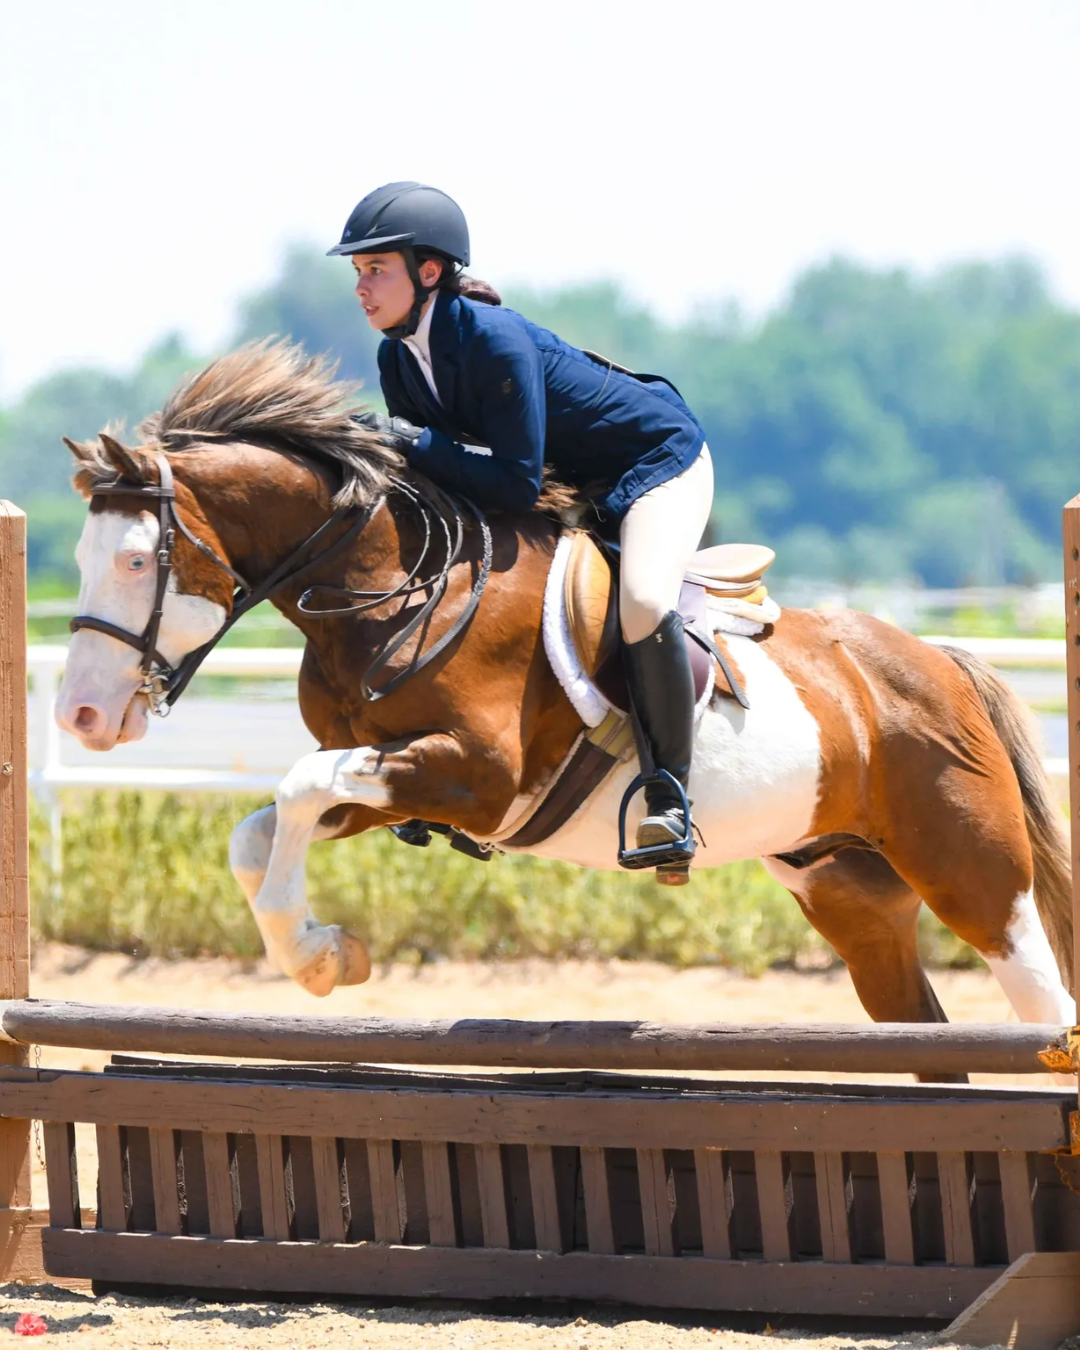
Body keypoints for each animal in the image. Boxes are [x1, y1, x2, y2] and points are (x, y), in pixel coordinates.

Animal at [55, 341, 1075, 1048]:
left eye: (139, 561)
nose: (81, 718)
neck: (393, 588)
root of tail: (936, 662)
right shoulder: (400, 777)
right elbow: (260, 832)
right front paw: (326, 955)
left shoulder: (473, 776)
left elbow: (300, 790)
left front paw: (315, 962)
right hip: (847, 888)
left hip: (975, 878)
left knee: (1043, 1007)